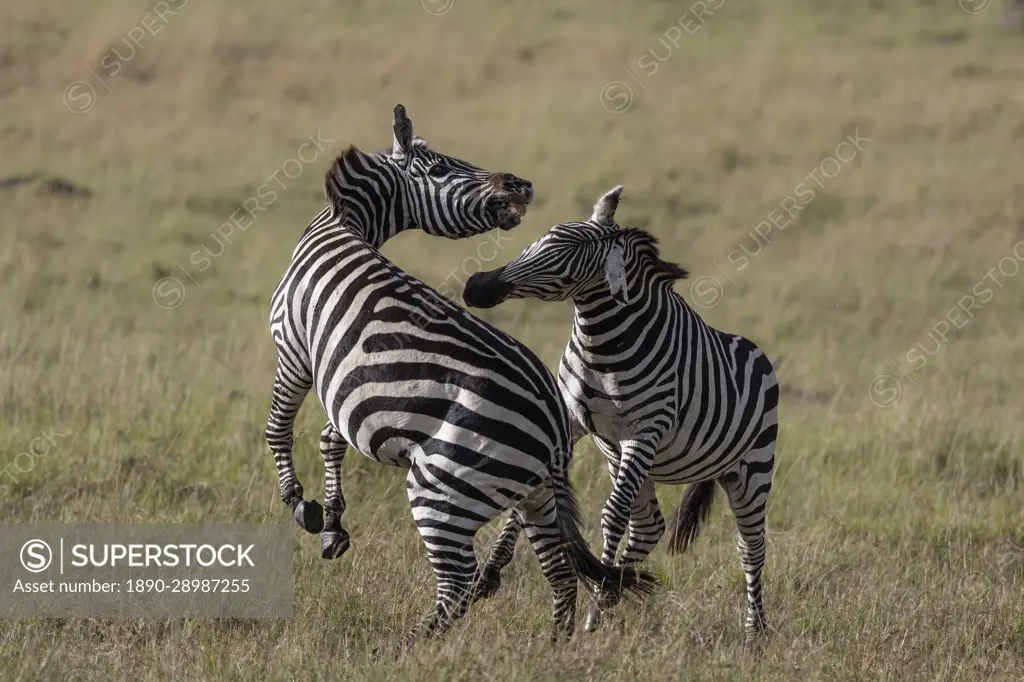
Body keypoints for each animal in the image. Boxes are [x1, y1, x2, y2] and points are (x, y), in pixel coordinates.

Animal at [260, 107, 651, 643]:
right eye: (443, 167)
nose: (521, 184)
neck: (343, 226)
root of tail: (554, 426)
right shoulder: (346, 386)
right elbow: (330, 438)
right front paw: (333, 523)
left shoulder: (294, 349)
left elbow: (278, 428)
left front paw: (300, 503)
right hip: (534, 494)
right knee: (559, 571)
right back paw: (553, 646)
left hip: (443, 488)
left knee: (457, 582)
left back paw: (408, 645)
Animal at [460, 183, 778, 638]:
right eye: (540, 236)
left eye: (567, 257)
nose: (476, 287)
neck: (604, 345)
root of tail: (756, 351)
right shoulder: (570, 419)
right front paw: (488, 577)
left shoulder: (644, 431)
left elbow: (611, 516)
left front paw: (597, 601)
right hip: (632, 460)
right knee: (648, 525)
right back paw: (612, 593)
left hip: (750, 470)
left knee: (750, 548)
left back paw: (754, 632)